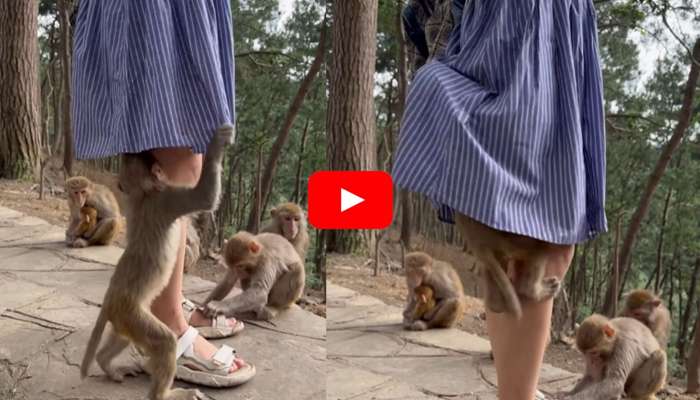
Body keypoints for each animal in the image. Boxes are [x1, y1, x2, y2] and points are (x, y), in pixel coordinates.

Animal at [80, 124, 233, 400]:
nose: (143, 150)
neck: (142, 193)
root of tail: (110, 299)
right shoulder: (166, 199)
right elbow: (204, 197)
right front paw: (216, 145)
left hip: (126, 318)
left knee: (122, 337)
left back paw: (105, 362)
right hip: (131, 313)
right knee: (165, 343)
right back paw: (165, 394)